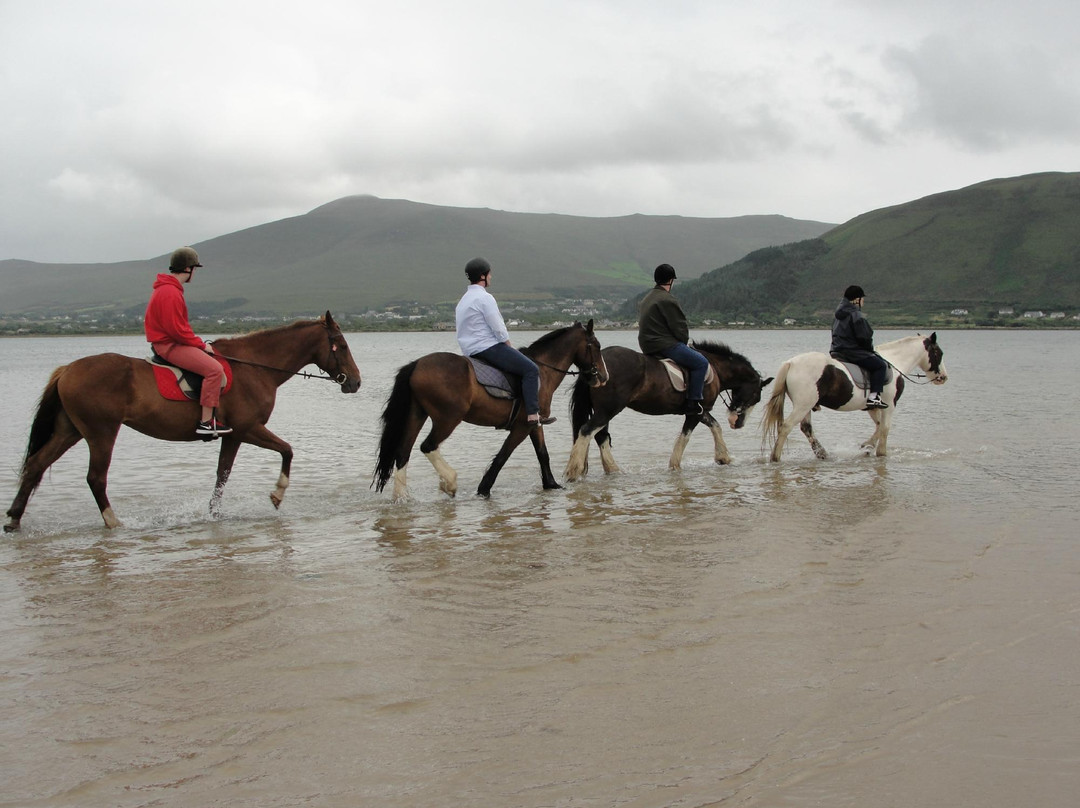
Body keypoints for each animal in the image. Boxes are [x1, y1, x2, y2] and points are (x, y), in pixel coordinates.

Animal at [4, 308, 360, 529]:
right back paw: (113, 522)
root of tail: (68, 369)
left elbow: (222, 475)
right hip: (100, 432)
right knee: (95, 478)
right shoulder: (249, 429)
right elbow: (287, 450)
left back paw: (14, 519)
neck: (256, 366)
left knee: (36, 465)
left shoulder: (233, 435)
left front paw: (213, 515)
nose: (355, 382)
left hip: (70, 430)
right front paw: (277, 494)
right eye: (341, 345)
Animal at [373, 319, 609, 499]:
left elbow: (543, 453)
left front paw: (551, 484)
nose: (604, 377)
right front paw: (484, 489)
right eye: (596, 346)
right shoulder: (522, 426)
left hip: (417, 415)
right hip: (447, 419)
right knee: (427, 446)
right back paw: (449, 482)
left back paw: (402, 497)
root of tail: (417, 365)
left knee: (403, 452)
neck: (542, 371)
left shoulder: (534, 424)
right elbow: (504, 455)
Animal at [561, 341, 773, 479]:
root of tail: (596, 367)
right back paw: (574, 469)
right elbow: (689, 435)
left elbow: (713, 426)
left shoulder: (697, 412)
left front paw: (722, 457)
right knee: (587, 431)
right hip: (608, 410)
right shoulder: (696, 411)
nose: (738, 423)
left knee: (600, 436)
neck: (715, 368)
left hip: (605, 411)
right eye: (756, 396)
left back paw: (612, 470)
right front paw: (678, 464)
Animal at [760, 332, 946, 460]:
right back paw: (775, 457)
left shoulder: (873, 407)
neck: (894, 362)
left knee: (806, 428)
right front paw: (880, 452)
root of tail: (791, 363)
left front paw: (867, 446)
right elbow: (885, 428)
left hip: (806, 405)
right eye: (938, 353)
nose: (943, 377)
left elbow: (879, 426)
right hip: (803, 405)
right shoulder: (889, 405)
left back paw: (822, 453)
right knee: (786, 427)